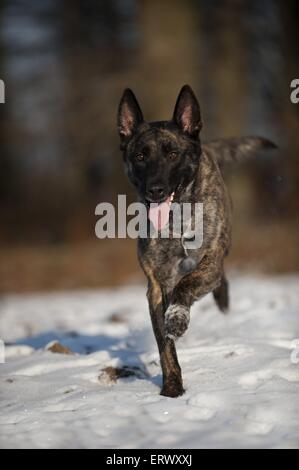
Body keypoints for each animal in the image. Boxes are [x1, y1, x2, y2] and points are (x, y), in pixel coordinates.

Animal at [117, 84, 276, 396]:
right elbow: (164, 344)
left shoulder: (210, 260)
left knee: (218, 278)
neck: (176, 220)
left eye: (172, 154)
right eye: (140, 156)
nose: (155, 190)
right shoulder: (157, 285)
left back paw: (220, 299)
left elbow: (187, 286)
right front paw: (172, 387)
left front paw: (178, 317)